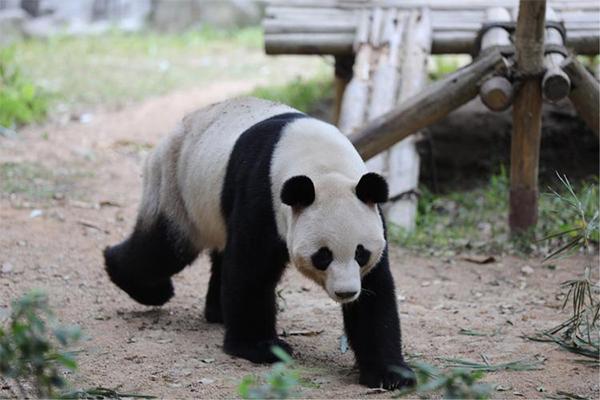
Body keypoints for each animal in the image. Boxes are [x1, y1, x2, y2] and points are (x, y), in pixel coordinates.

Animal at [103, 95, 414, 390]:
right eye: (323, 256)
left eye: (361, 254)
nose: (346, 292)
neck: (322, 166)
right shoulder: (263, 193)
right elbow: (250, 269)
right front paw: (259, 347)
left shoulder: (371, 212)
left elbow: (376, 291)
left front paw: (390, 374)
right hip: (177, 185)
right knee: (164, 247)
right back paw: (140, 282)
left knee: (218, 253)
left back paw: (218, 312)